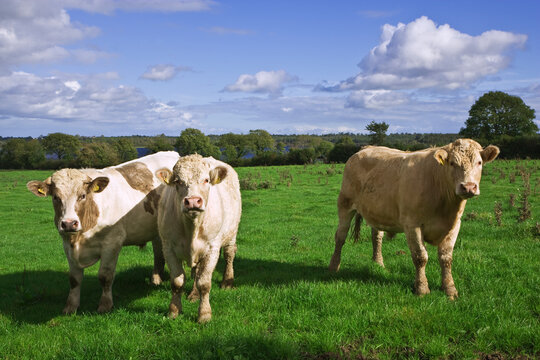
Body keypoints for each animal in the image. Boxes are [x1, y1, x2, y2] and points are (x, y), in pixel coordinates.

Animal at [26, 150, 179, 314]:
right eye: (55, 197)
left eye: (82, 196)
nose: (68, 224)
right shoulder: (67, 245)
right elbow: (74, 279)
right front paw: (70, 307)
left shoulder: (112, 242)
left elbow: (105, 276)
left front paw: (105, 305)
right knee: (158, 252)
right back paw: (155, 280)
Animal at [156, 153, 240, 322]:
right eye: (178, 181)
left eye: (206, 180)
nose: (193, 201)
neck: (191, 228)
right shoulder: (168, 247)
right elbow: (177, 282)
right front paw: (174, 311)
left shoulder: (212, 248)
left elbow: (204, 283)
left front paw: (204, 314)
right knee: (196, 270)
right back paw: (194, 294)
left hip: (232, 233)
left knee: (229, 254)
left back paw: (227, 282)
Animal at [332, 139, 500, 300]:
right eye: (452, 163)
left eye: (479, 162)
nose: (468, 187)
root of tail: (366, 148)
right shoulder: (412, 224)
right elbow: (420, 257)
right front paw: (422, 289)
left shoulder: (454, 225)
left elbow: (446, 258)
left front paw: (450, 289)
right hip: (345, 204)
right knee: (340, 236)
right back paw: (334, 266)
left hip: (378, 211)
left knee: (376, 236)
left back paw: (378, 263)